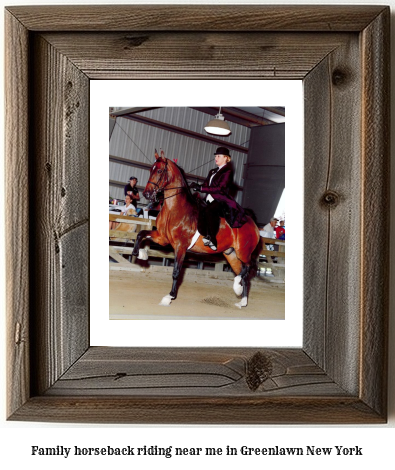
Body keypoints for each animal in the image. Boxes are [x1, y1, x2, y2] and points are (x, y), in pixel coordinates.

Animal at [133, 148, 262, 308]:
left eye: (160, 171)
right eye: (151, 169)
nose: (147, 194)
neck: (175, 209)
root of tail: (252, 223)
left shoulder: (180, 246)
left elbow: (176, 272)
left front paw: (169, 297)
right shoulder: (162, 238)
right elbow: (141, 234)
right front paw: (140, 254)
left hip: (243, 252)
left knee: (249, 268)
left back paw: (238, 288)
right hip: (231, 254)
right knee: (242, 272)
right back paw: (241, 300)